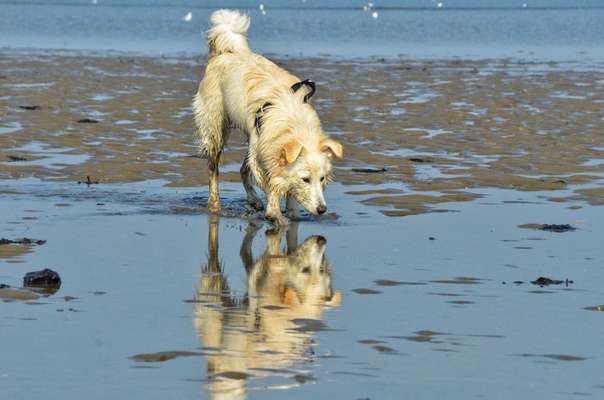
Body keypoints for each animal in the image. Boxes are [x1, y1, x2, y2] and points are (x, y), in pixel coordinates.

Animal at [193, 9, 344, 225]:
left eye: (322, 178)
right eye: (306, 179)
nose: (322, 209)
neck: (293, 125)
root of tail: (228, 52)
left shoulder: (265, 148)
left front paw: (290, 212)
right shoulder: (264, 156)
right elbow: (271, 185)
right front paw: (275, 214)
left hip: (252, 139)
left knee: (243, 169)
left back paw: (254, 201)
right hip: (216, 128)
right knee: (213, 168)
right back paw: (215, 204)